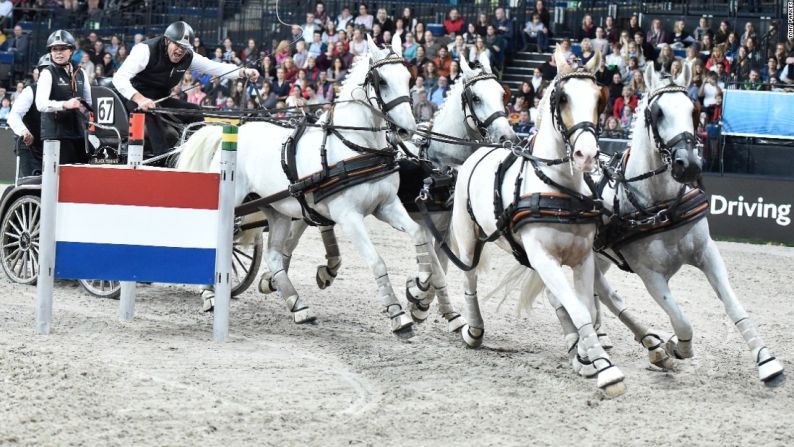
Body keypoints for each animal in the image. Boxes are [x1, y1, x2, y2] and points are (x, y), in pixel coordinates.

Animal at [176, 35, 446, 338]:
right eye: (382, 81)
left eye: (409, 78)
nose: (406, 130)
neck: (355, 147)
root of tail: (231, 130)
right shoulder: (348, 217)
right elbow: (376, 260)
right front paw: (398, 315)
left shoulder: (387, 206)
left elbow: (419, 233)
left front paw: (419, 285)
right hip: (231, 202)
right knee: (214, 238)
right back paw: (210, 295)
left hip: (277, 210)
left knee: (273, 256)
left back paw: (299, 307)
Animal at [452, 46, 624, 396]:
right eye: (563, 98)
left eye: (599, 99)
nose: (587, 155)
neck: (559, 189)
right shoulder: (543, 257)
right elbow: (578, 308)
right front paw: (606, 370)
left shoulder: (582, 258)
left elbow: (583, 307)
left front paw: (589, 358)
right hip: (468, 238)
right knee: (469, 279)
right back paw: (473, 330)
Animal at [540, 65, 784, 386]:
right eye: (657, 113)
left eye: (694, 110)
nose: (688, 164)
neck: (661, 204)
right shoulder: (650, 275)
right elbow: (681, 321)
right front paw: (676, 347)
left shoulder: (707, 253)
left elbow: (733, 305)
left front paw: (766, 360)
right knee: (572, 295)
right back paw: (583, 347)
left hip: (599, 255)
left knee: (600, 293)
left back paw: (632, 341)